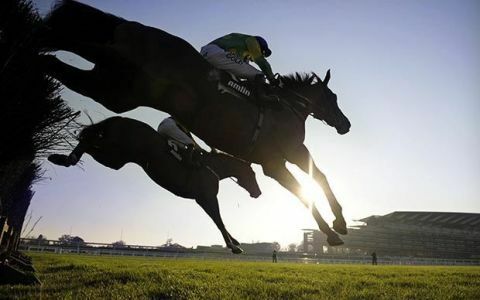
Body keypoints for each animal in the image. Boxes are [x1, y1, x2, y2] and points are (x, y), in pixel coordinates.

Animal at [47, 116, 262, 254]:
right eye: (252, 174)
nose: (258, 192)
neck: (213, 166)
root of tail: (118, 119)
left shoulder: (202, 199)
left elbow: (219, 221)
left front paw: (235, 242)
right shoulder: (206, 197)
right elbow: (219, 221)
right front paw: (234, 246)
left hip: (116, 158)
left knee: (89, 142)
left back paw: (61, 158)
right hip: (115, 154)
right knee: (88, 142)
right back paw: (63, 158)